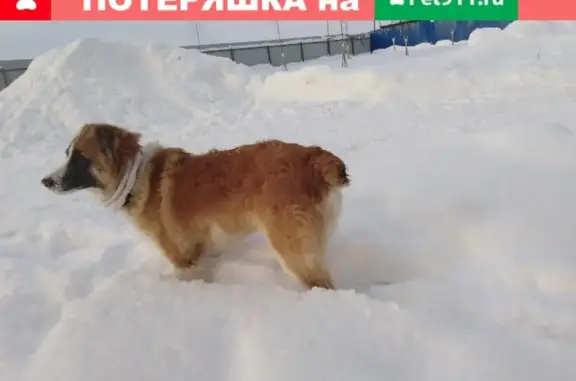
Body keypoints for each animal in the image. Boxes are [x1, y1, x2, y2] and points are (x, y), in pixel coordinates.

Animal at [41, 122, 352, 288]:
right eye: (67, 154)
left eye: (80, 158)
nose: (45, 181)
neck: (135, 175)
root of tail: (314, 157)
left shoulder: (184, 258)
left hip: (292, 251)